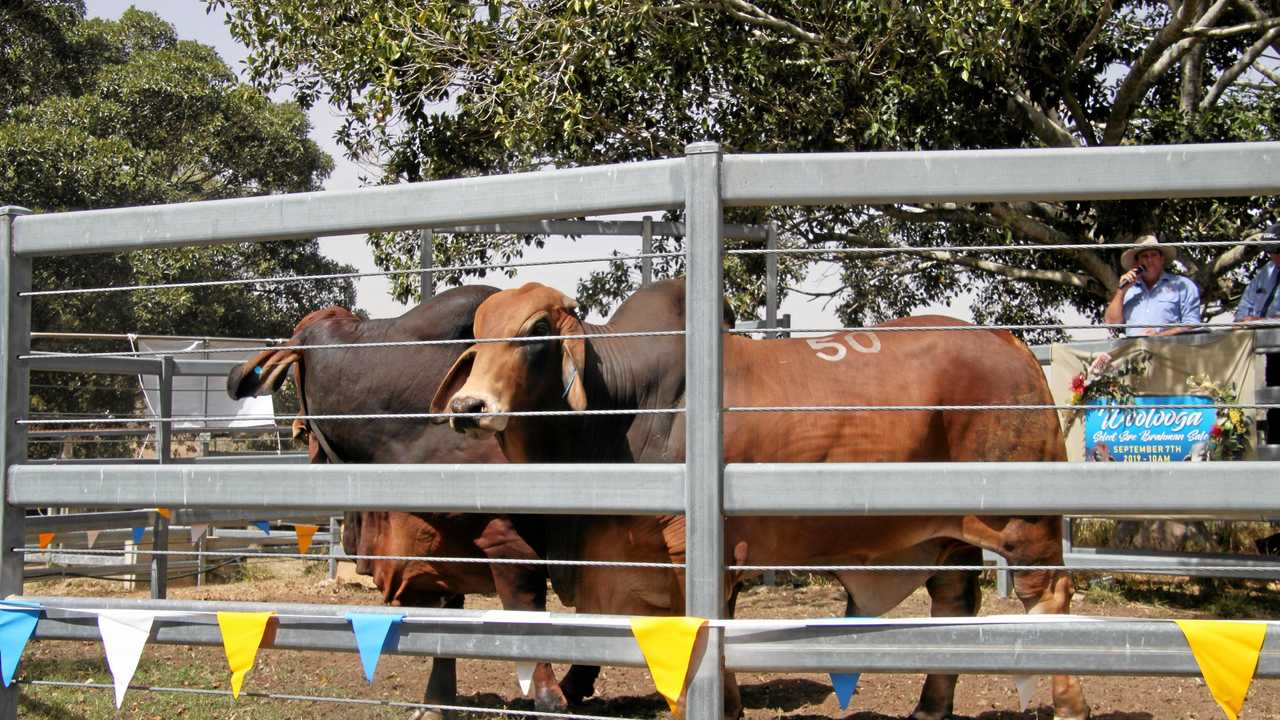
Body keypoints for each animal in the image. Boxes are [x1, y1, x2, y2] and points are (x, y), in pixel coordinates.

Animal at [430, 279, 1090, 717]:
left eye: (535, 332)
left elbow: (701, 634)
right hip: (948, 534)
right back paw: (930, 708)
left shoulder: (698, 548)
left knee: (1048, 598)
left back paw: (1070, 704)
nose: (469, 406)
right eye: (478, 335)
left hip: (1024, 520)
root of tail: (1010, 343)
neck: (624, 405)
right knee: (954, 603)